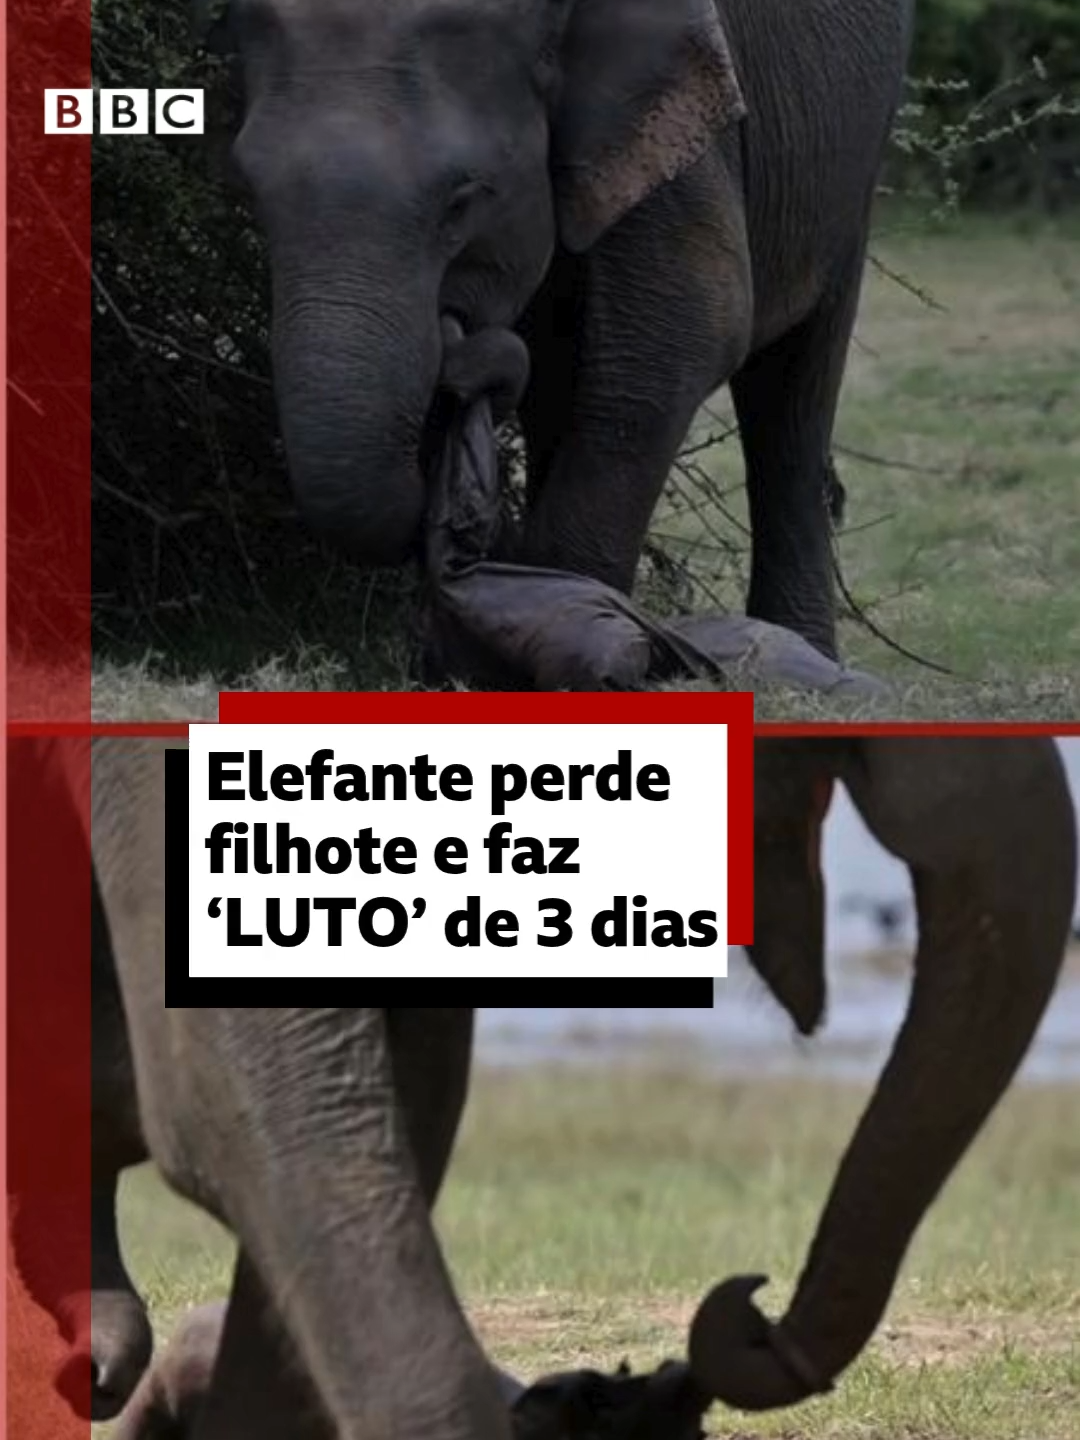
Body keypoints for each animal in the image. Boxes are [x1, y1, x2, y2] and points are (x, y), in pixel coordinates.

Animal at [194, 0, 916, 664]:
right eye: (249, 191)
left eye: (462, 201)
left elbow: (689, 330)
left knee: (793, 384)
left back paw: (803, 651)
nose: (455, 343)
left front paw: (564, 635)